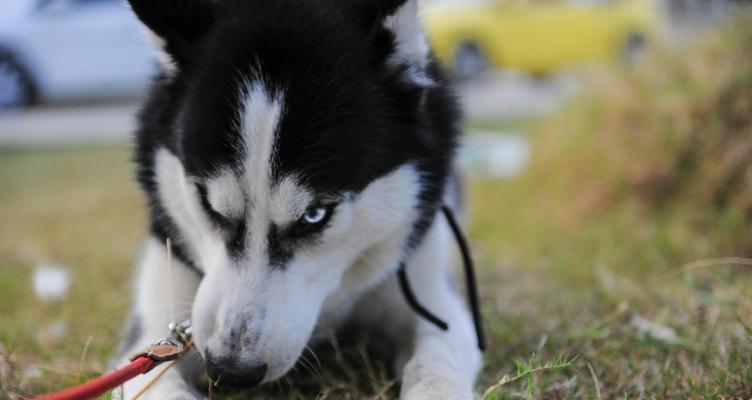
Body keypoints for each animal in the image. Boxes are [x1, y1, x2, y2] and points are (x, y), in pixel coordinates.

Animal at [117, 0, 482, 396]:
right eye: (209, 205)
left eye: (315, 215)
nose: (230, 371)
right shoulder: (152, 329)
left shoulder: (433, 301)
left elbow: (435, 367)